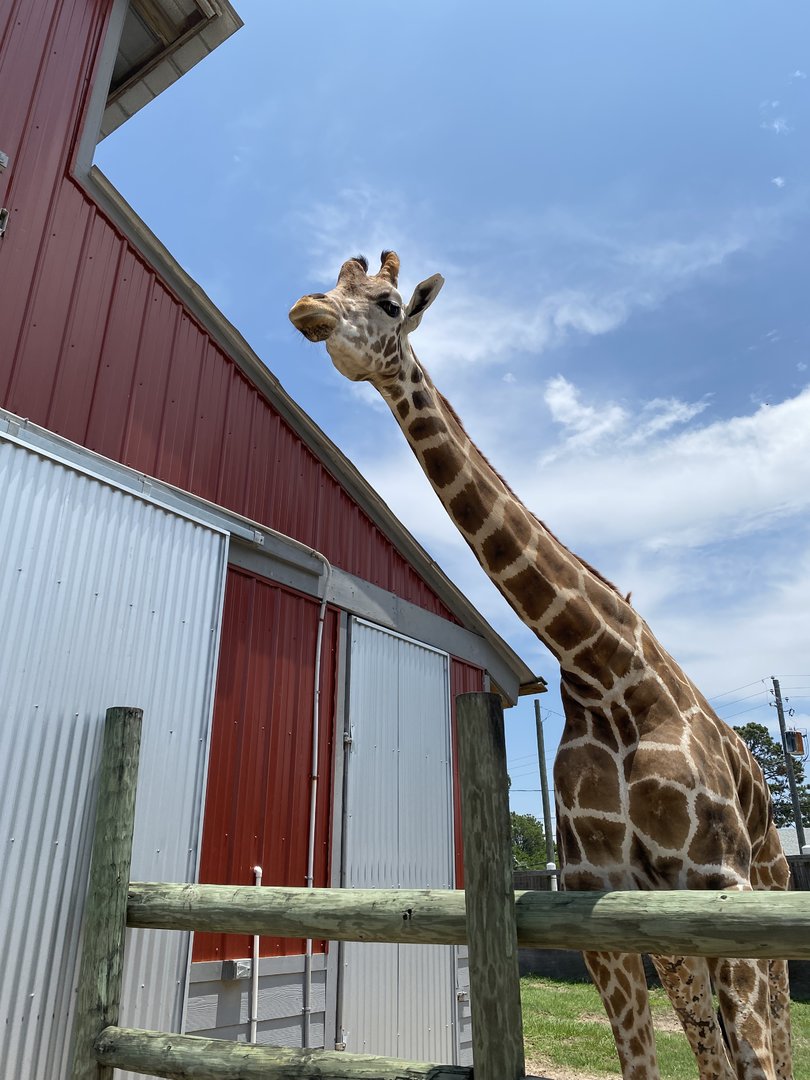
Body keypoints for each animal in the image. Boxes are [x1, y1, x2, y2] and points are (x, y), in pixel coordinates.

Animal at [289, 251, 793, 1080]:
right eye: (333, 280)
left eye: (389, 303)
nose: (308, 310)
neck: (602, 666)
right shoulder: (604, 904)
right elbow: (644, 1065)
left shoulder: (719, 883)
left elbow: (755, 1060)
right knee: (713, 1050)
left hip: (769, 897)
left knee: (774, 1039)